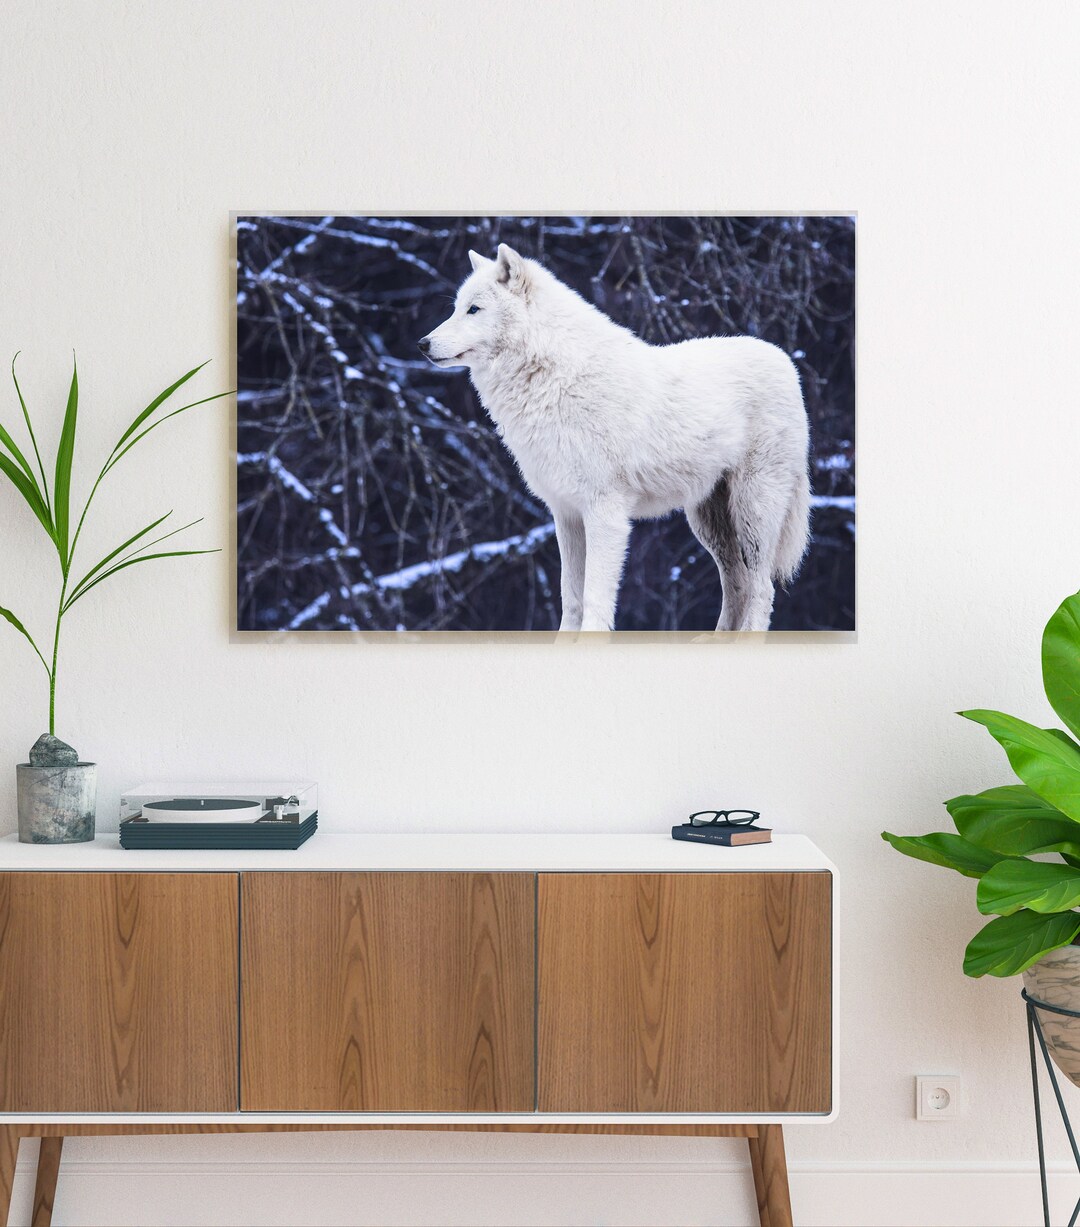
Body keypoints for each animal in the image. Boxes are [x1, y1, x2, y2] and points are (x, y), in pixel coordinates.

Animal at [418, 244, 810, 632]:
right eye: (456, 307)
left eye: (474, 309)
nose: (423, 343)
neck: (555, 378)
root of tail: (785, 361)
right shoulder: (566, 513)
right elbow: (571, 598)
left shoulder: (605, 512)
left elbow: (593, 599)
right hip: (707, 521)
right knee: (737, 585)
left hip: (753, 511)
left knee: (762, 589)